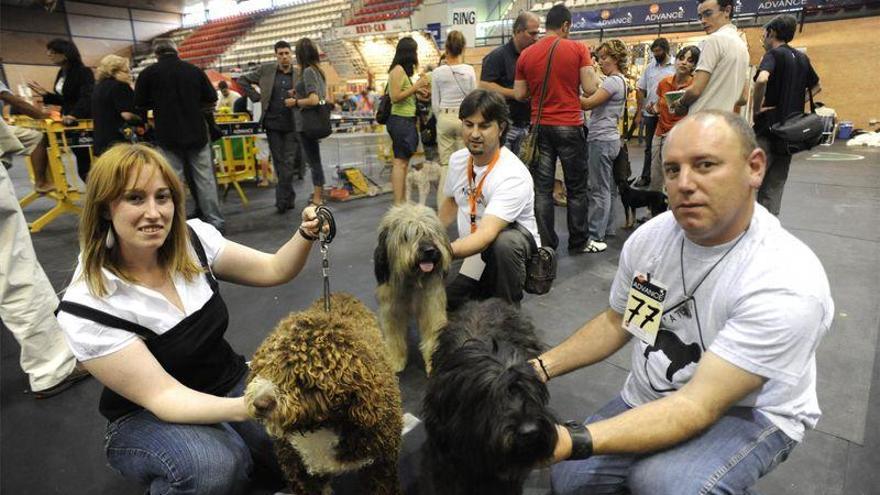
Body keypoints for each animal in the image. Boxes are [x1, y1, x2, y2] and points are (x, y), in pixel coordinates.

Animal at [244, 294, 402, 495]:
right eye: (264, 366)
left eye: (303, 380)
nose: (260, 404)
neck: (323, 427)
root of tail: (338, 294)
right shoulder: (301, 474)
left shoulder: (380, 467)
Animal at [372, 203, 450, 374]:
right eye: (407, 235)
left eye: (431, 233)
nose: (429, 250)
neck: (412, 280)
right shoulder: (391, 309)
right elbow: (394, 336)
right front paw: (395, 360)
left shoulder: (431, 306)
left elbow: (433, 332)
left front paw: (433, 362)